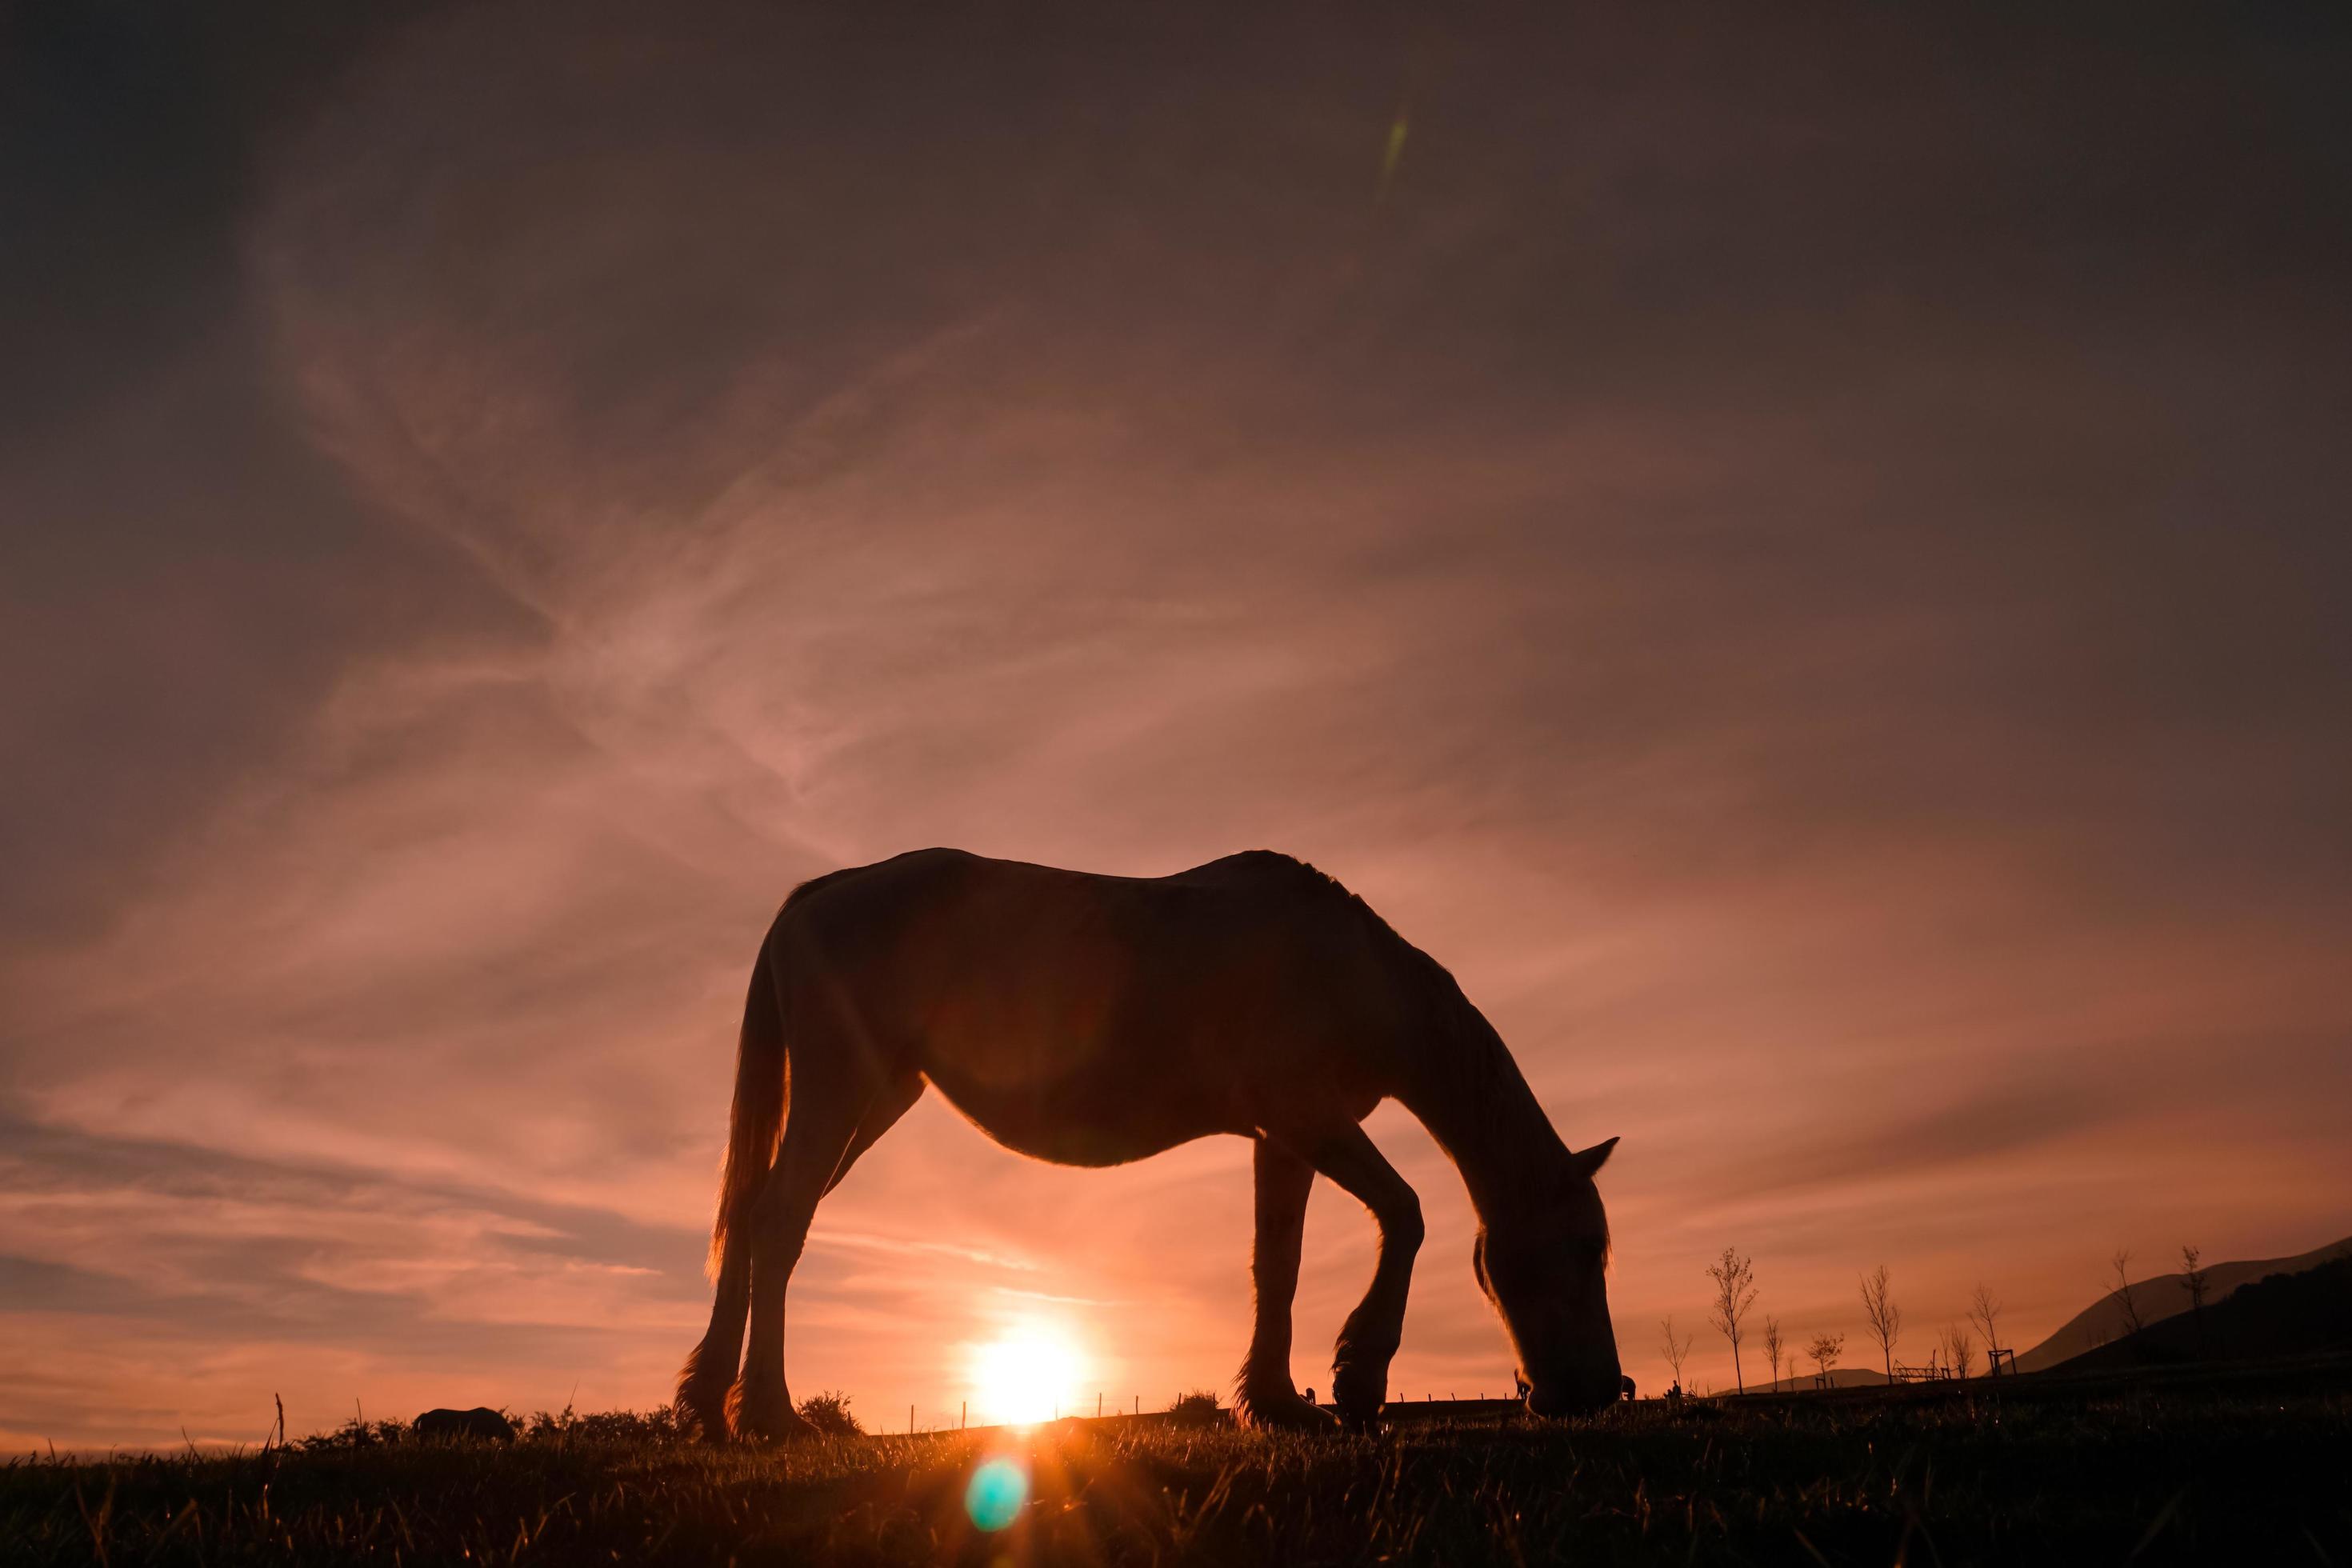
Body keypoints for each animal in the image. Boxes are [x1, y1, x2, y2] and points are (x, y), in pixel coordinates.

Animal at [682, 850, 1618, 1438]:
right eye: (1584, 1249)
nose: (1601, 1391)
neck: (1350, 971)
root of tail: (824, 891)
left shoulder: (1285, 1138)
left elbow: (1278, 1265)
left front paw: (1278, 1404)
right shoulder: (1309, 1116)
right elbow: (1406, 1212)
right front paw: (1357, 1380)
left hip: (875, 1100)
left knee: (756, 1214)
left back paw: (707, 1403)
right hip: (842, 1090)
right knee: (780, 1219)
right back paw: (769, 1414)